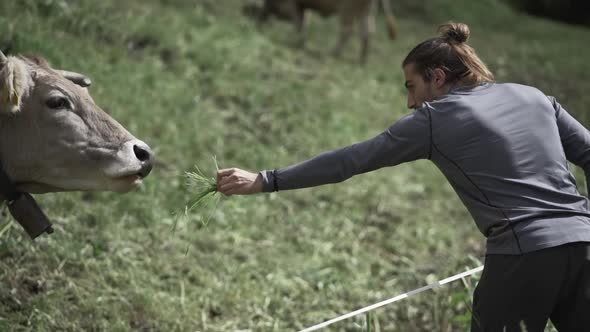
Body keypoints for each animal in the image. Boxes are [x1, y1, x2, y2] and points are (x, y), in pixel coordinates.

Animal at [245, 0, 398, 63]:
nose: (257, 23)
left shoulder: (292, 6)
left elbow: (299, 22)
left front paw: (299, 42)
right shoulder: (302, 7)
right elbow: (303, 21)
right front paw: (300, 42)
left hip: (347, 10)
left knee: (347, 31)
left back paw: (333, 53)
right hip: (366, 11)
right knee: (367, 32)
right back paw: (361, 61)